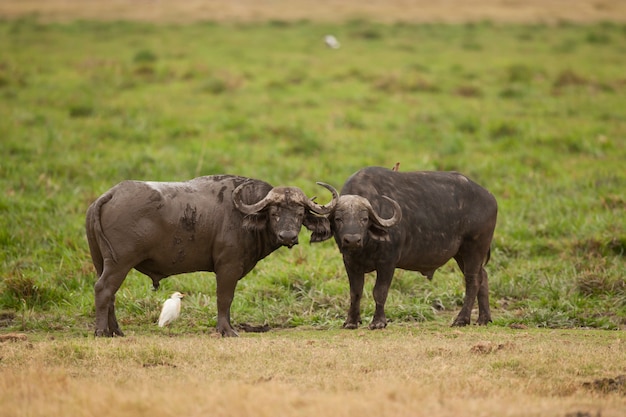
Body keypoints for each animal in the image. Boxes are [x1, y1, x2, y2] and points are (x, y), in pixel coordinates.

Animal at [86, 174, 336, 336]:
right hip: (120, 263)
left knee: (109, 294)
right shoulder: (228, 267)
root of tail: (110, 195)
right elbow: (224, 298)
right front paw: (226, 330)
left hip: (102, 263)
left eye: (300, 213)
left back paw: (116, 330)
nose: (288, 236)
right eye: (274, 212)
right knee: (103, 289)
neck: (243, 215)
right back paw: (101, 331)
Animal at [314, 166, 494, 328]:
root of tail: (490, 198)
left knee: (472, 281)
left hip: (474, 249)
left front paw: (378, 322)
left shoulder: (387, 262)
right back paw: (484, 319)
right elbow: (355, 292)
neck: (366, 244)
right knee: (483, 276)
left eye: (364, 219)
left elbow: (379, 291)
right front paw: (351, 322)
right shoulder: (350, 262)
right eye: (338, 218)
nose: (352, 240)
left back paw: (461, 320)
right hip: (460, 254)